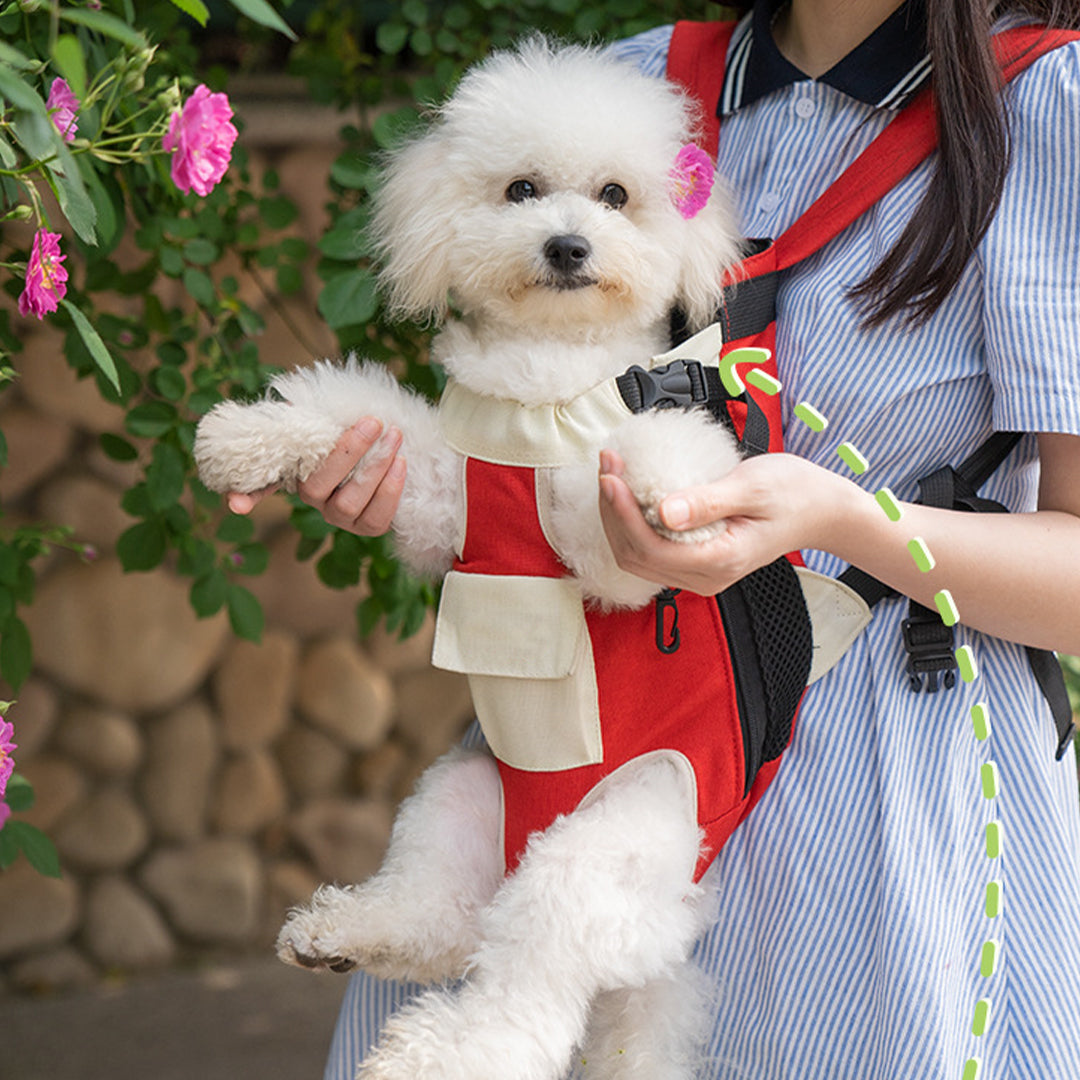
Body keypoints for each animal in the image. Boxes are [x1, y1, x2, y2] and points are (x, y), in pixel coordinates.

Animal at [194, 38, 751, 1075]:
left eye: (615, 195)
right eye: (521, 188)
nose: (567, 246)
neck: (539, 392)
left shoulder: (603, 553)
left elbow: (637, 481)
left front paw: (669, 489)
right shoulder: (442, 488)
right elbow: (357, 413)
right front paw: (244, 438)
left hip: (598, 850)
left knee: (524, 987)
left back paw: (437, 1053)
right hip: (460, 790)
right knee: (449, 918)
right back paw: (340, 932)